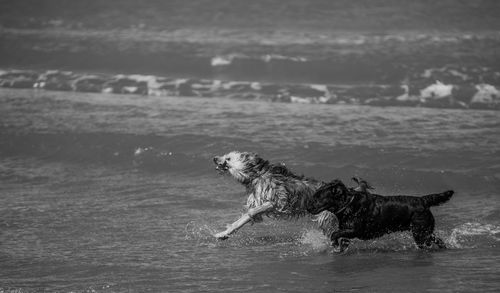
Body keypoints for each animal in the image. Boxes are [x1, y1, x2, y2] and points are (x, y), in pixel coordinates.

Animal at [306, 178, 456, 251]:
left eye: (318, 197)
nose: (307, 207)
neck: (348, 204)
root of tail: (423, 200)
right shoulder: (347, 230)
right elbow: (340, 236)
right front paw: (340, 246)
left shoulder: (355, 230)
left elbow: (334, 233)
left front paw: (334, 244)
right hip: (425, 230)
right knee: (437, 240)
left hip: (420, 232)